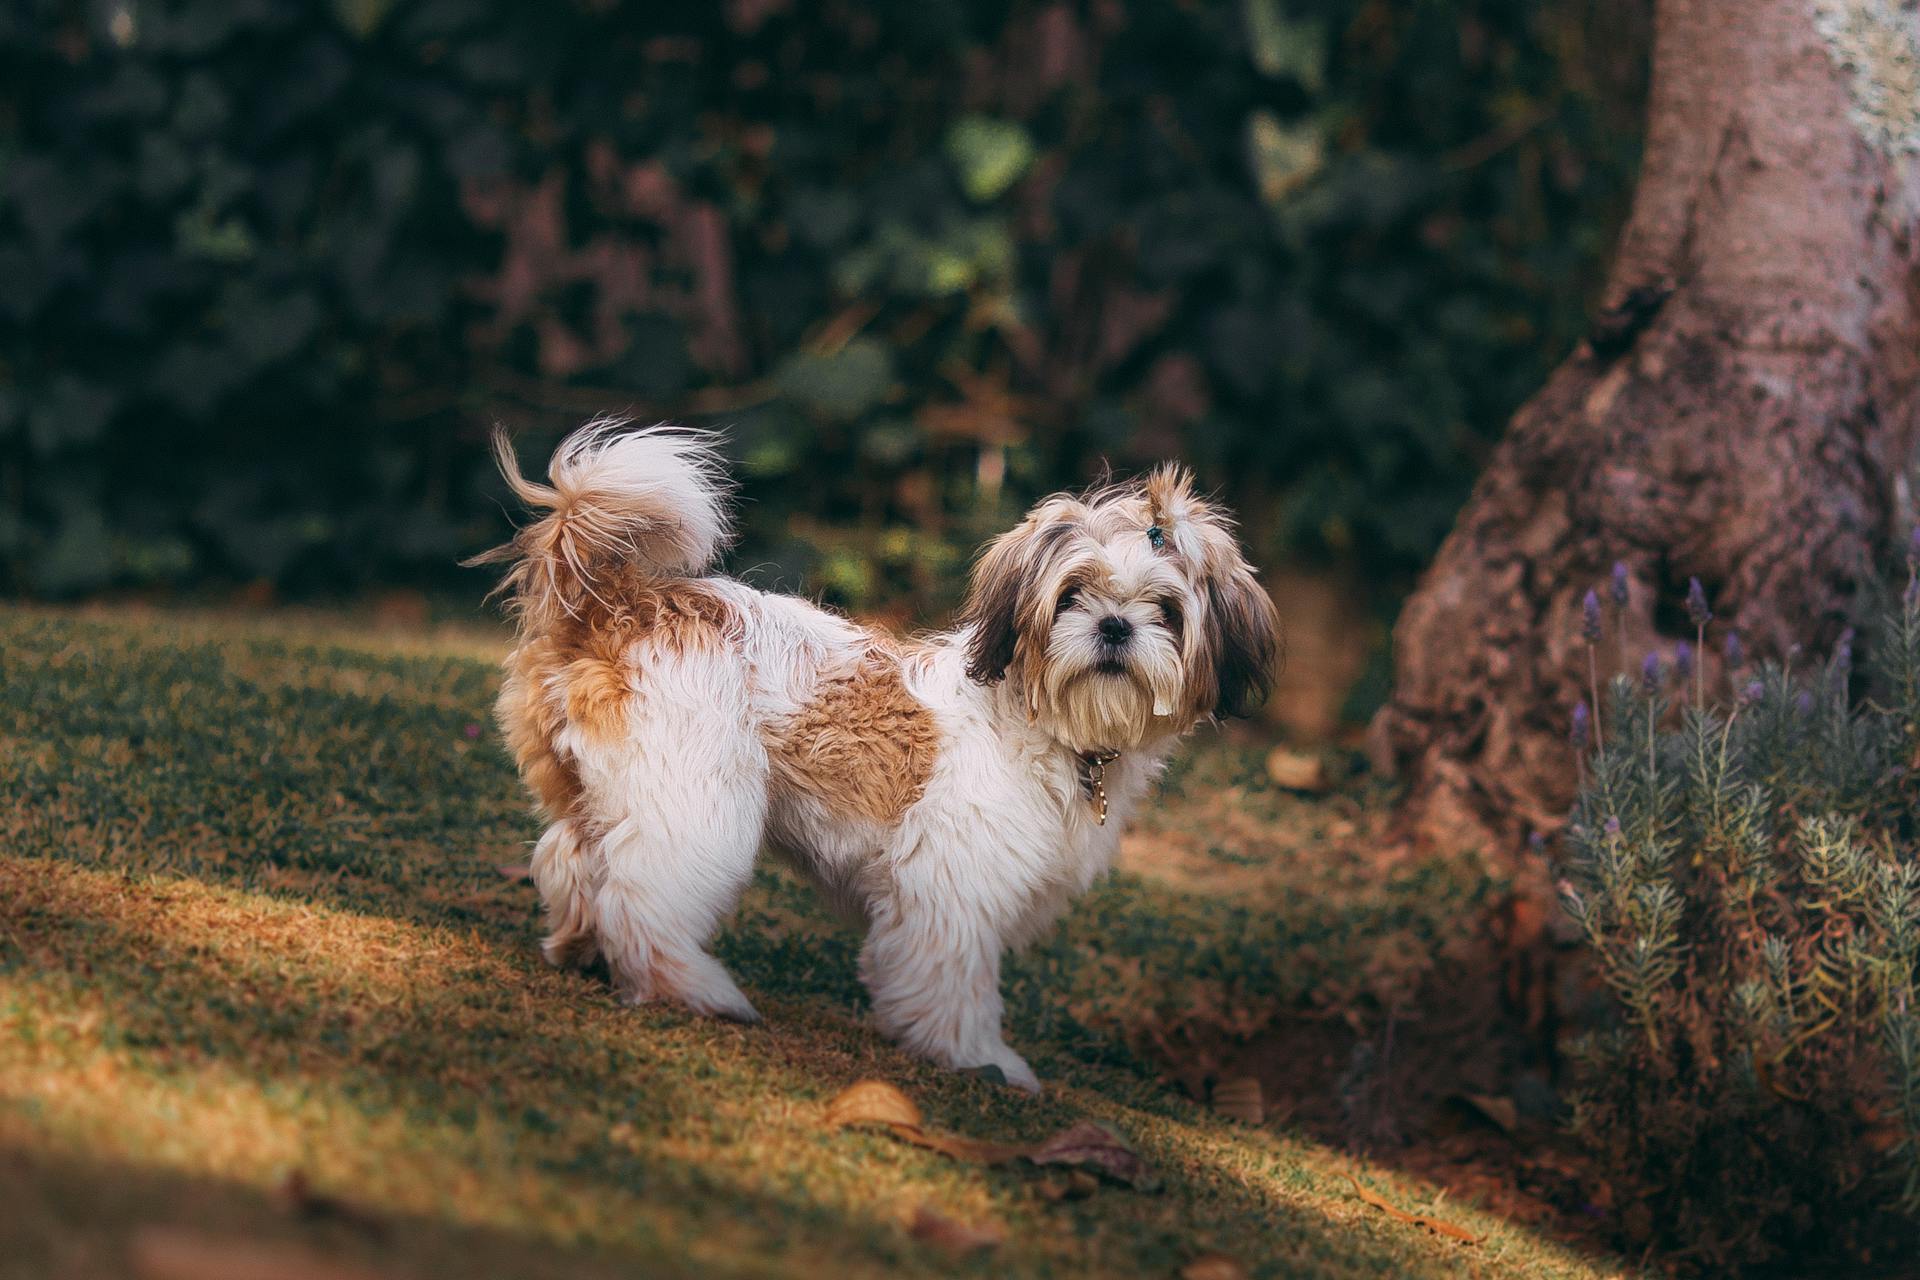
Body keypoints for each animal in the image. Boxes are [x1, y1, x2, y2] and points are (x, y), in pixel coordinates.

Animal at [478, 420, 1274, 1090]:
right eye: (1071, 594)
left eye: (1166, 611)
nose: (1113, 627)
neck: (1047, 723)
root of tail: (618, 605)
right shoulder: (953, 884)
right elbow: (953, 981)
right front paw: (977, 1056)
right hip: (695, 802)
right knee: (643, 897)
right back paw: (694, 988)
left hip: (601, 785)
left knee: (572, 860)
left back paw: (582, 948)